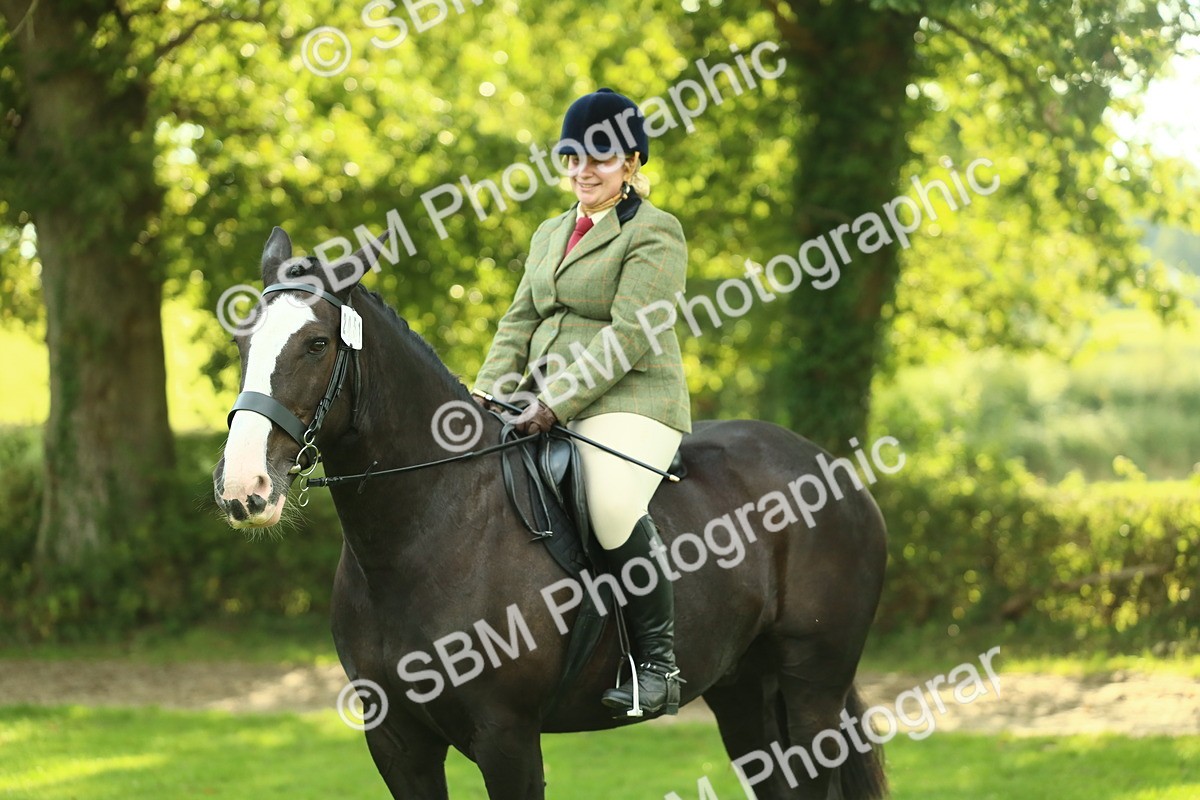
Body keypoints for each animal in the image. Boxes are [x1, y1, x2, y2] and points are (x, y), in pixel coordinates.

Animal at [212, 228, 889, 800]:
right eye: (242, 341)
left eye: (317, 343)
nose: (243, 487)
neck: (425, 529)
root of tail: (834, 468)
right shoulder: (398, 743)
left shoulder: (506, 737)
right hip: (743, 689)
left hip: (813, 685)